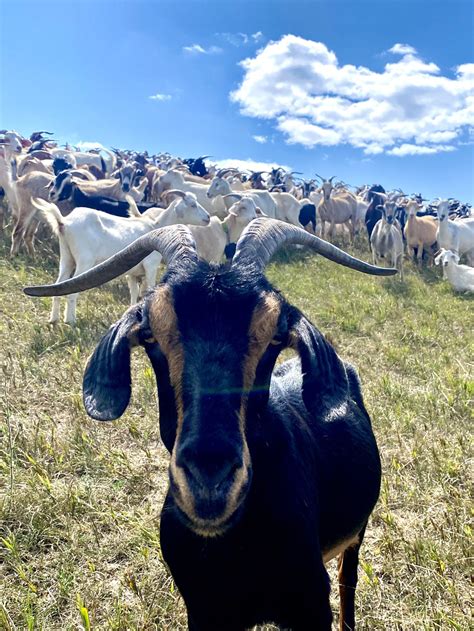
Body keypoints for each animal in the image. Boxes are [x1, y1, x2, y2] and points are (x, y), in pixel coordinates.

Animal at [24, 218, 398, 631]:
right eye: (150, 333)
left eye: (276, 335)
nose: (209, 477)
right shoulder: (203, 610)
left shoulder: (312, 604)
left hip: (357, 533)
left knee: (349, 579)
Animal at [32, 190, 210, 324]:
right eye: (193, 205)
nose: (208, 218)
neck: (156, 227)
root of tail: (64, 222)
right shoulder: (150, 266)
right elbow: (149, 289)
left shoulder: (132, 273)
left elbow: (134, 293)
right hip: (84, 261)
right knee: (72, 290)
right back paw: (70, 321)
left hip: (67, 259)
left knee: (59, 285)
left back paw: (53, 320)